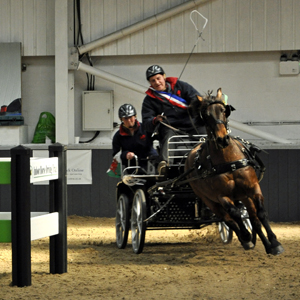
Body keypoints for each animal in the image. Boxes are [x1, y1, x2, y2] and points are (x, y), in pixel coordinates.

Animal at [185, 89, 284, 255]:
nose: (222, 139)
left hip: (243, 196)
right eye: (206, 115)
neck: (228, 162)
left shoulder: (252, 188)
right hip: (209, 200)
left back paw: (266, 244)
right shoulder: (221, 196)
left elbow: (261, 214)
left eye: (224, 111)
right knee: (227, 218)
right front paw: (246, 236)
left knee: (254, 219)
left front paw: (275, 243)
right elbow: (235, 214)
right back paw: (246, 239)